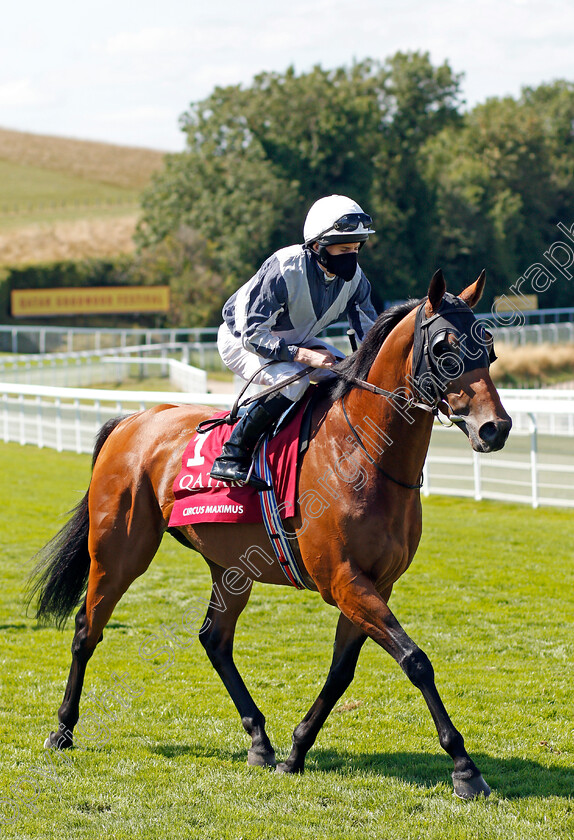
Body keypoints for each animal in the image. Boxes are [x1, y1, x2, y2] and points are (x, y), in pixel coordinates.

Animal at [28, 270, 512, 800]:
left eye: (488, 347)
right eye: (444, 347)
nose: (496, 428)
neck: (363, 453)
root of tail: (131, 420)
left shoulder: (374, 585)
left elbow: (341, 672)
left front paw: (296, 751)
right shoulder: (344, 580)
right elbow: (416, 660)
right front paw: (465, 767)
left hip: (231, 566)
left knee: (214, 639)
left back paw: (259, 741)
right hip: (118, 551)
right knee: (86, 628)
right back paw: (62, 728)